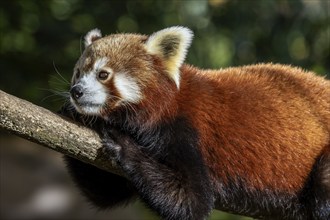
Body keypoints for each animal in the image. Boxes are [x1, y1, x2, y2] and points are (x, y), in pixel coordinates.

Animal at [60, 26, 328, 219]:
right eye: (78, 73)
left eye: (103, 74)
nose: (76, 91)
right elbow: (104, 192)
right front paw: (72, 114)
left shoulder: (186, 129)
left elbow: (191, 200)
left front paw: (123, 144)